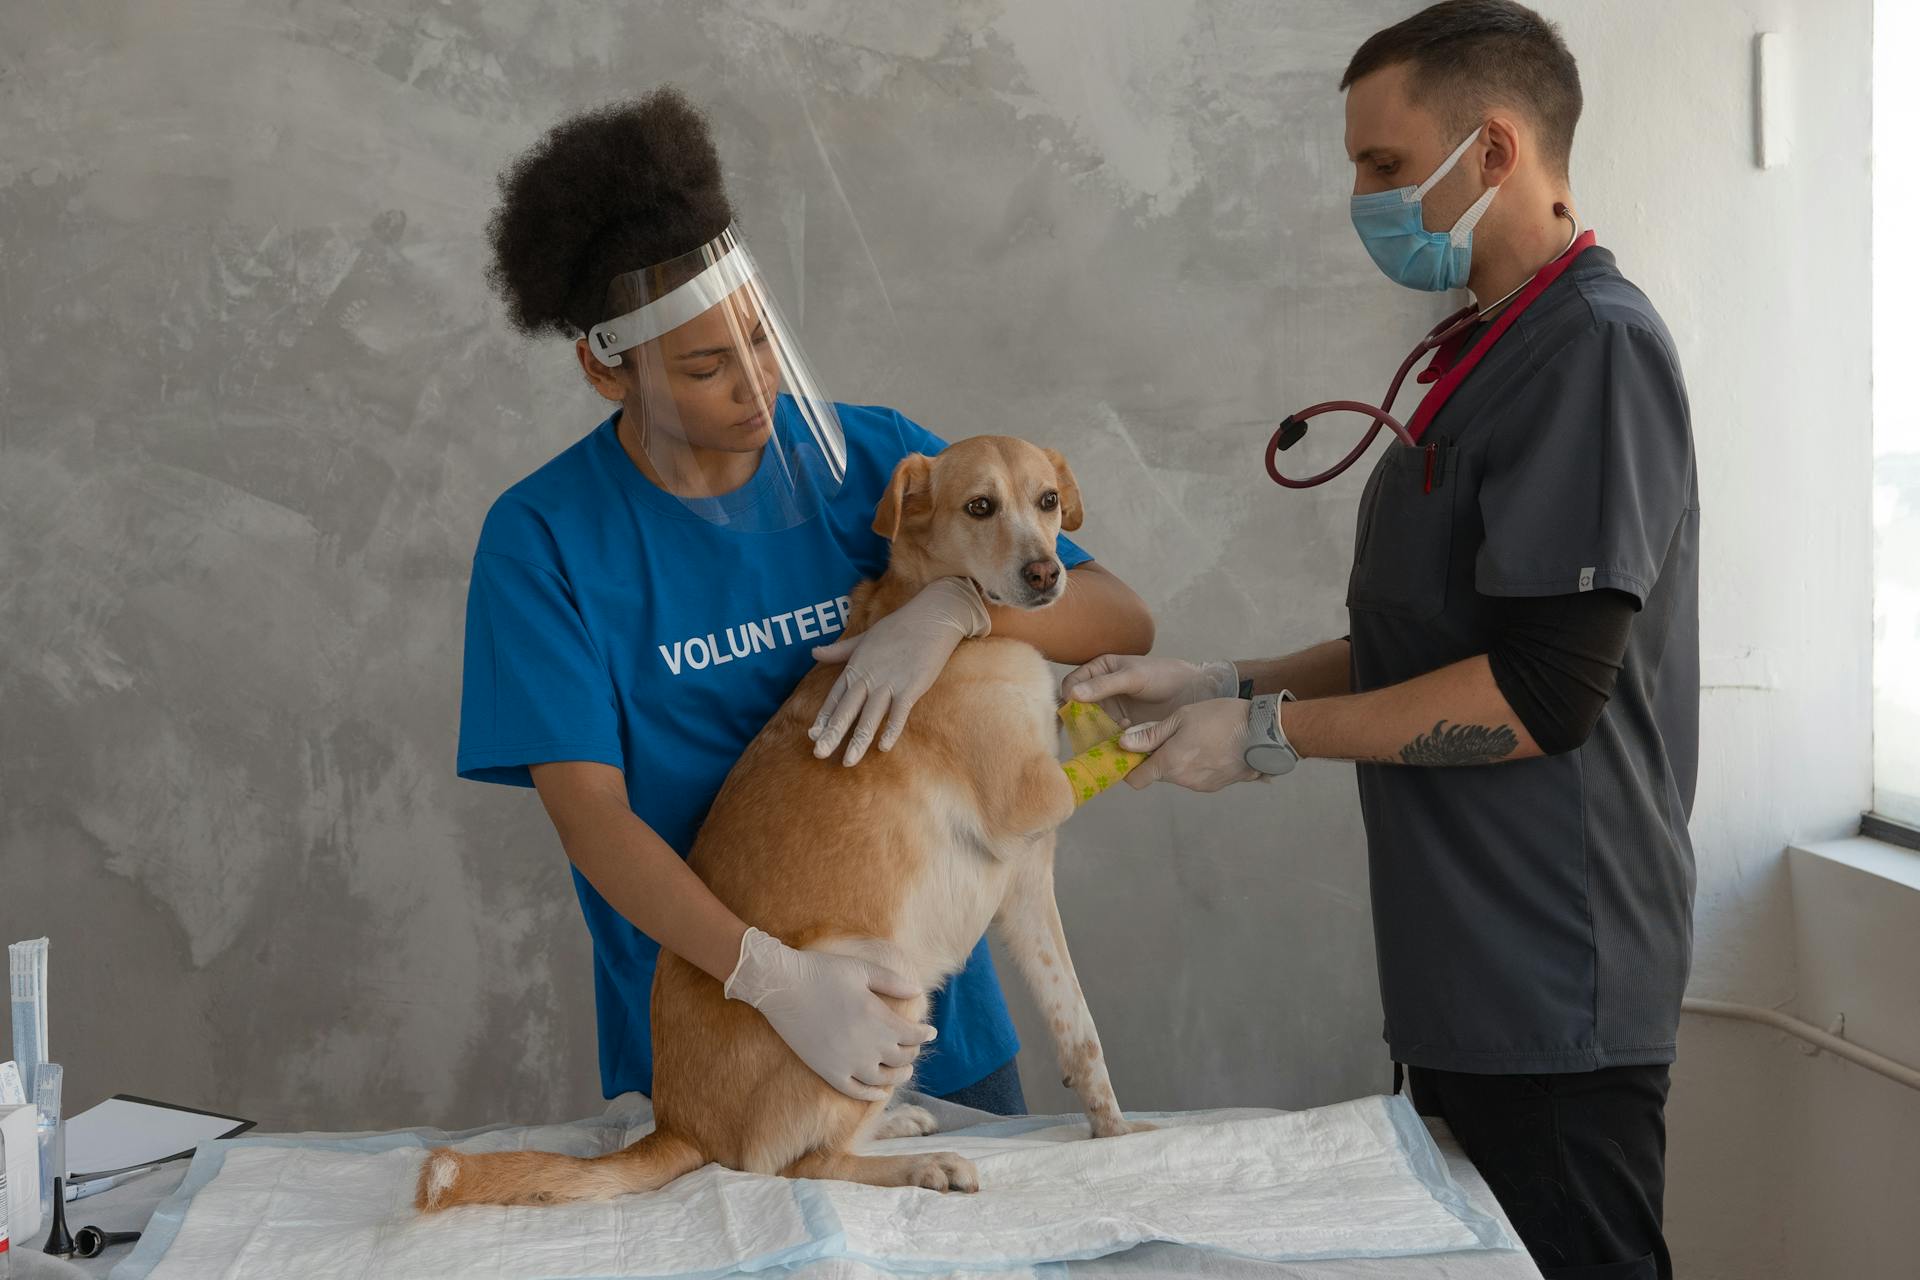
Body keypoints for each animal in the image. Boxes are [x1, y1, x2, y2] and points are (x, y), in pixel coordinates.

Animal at [416, 433, 1136, 1212]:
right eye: (979, 507)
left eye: (1048, 501)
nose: (1046, 574)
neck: (945, 616)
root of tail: (680, 1126)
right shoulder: (1028, 798)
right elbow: (1107, 755)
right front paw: (1147, 723)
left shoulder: (1026, 888)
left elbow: (1079, 1028)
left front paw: (1119, 1131)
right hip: (886, 987)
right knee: (794, 1163)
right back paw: (922, 1164)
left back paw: (900, 1122)